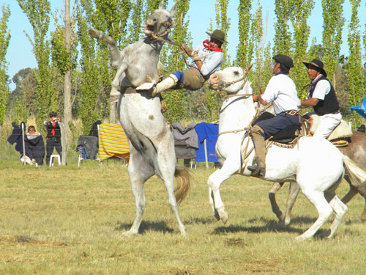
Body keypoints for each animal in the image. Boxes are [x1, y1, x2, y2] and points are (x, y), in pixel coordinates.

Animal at [89, 1, 190, 236]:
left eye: (168, 18)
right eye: (154, 12)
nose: (152, 21)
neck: (144, 50)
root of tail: (153, 167)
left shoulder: (135, 74)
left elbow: (122, 72)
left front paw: (114, 93)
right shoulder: (117, 59)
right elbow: (113, 46)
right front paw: (95, 32)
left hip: (166, 169)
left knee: (172, 202)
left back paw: (182, 230)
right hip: (135, 175)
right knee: (141, 204)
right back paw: (131, 232)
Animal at [207, 67, 364, 242]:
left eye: (235, 72)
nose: (212, 78)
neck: (237, 130)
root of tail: (339, 156)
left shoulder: (232, 166)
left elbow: (215, 182)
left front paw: (223, 213)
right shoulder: (222, 165)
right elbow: (210, 181)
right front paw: (215, 213)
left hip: (310, 188)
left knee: (325, 211)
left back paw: (303, 236)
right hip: (327, 190)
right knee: (341, 209)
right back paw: (326, 234)